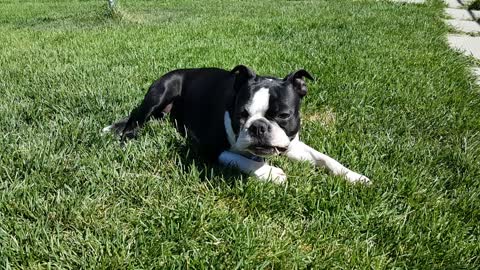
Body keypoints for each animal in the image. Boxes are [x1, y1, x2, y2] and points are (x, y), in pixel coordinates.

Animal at [103, 65, 370, 184]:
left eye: (283, 115)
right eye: (241, 113)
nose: (258, 127)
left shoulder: (292, 143)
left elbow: (325, 159)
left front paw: (354, 176)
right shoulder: (208, 149)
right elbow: (241, 159)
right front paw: (270, 172)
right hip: (160, 93)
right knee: (134, 121)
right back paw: (126, 137)